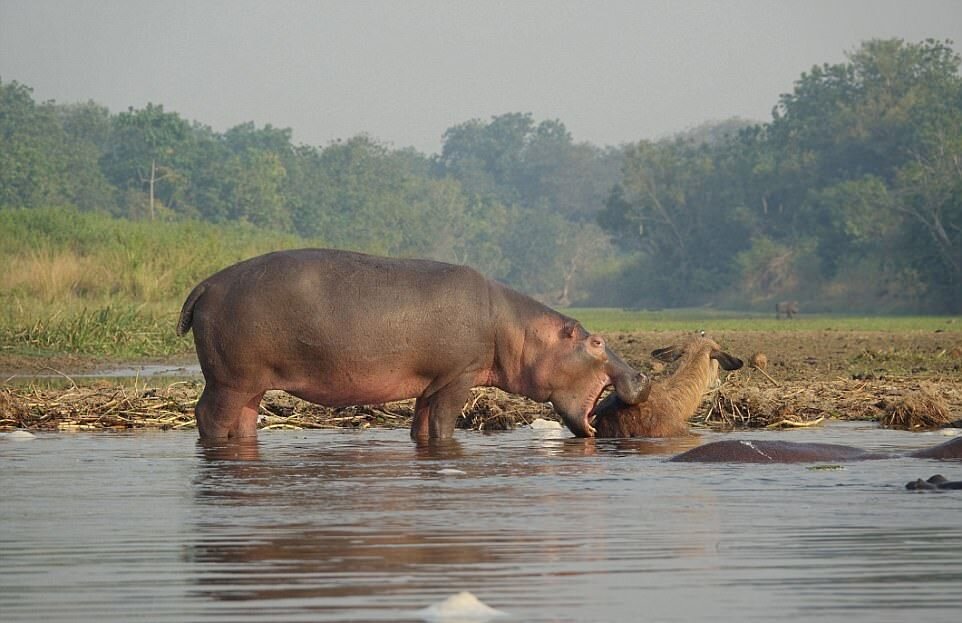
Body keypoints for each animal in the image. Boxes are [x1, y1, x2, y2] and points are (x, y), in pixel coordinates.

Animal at [176, 246, 648, 442]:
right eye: (596, 342)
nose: (642, 375)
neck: (519, 331)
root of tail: (205, 285)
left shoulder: (431, 382)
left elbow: (422, 426)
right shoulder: (458, 377)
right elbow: (442, 425)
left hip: (250, 385)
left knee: (243, 420)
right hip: (229, 380)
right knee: (210, 417)